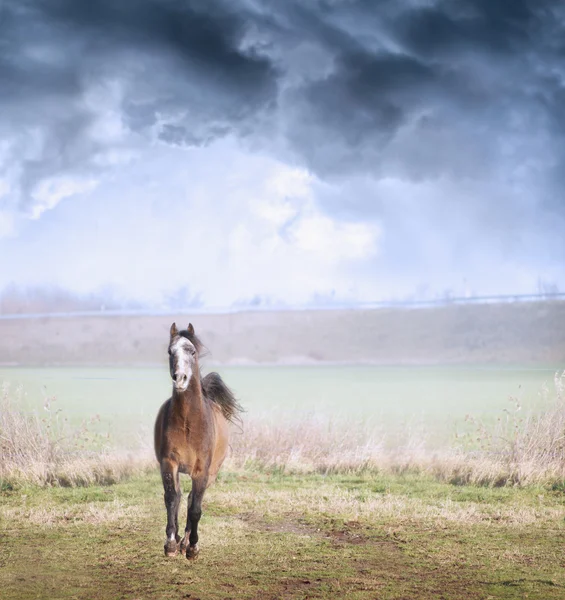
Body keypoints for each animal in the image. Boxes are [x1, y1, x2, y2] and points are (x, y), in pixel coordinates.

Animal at [153, 322, 241, 560]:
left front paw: (192, 548)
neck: (188, 422)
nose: (180, 378)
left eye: (192, 352)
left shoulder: (202, 470)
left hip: (211, 474)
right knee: (181, 497)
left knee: (193, 499)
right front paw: (170, 544)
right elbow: (171, 498)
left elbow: (195, 509)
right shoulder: (169, 463)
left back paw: (186, 543)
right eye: (170, 351)